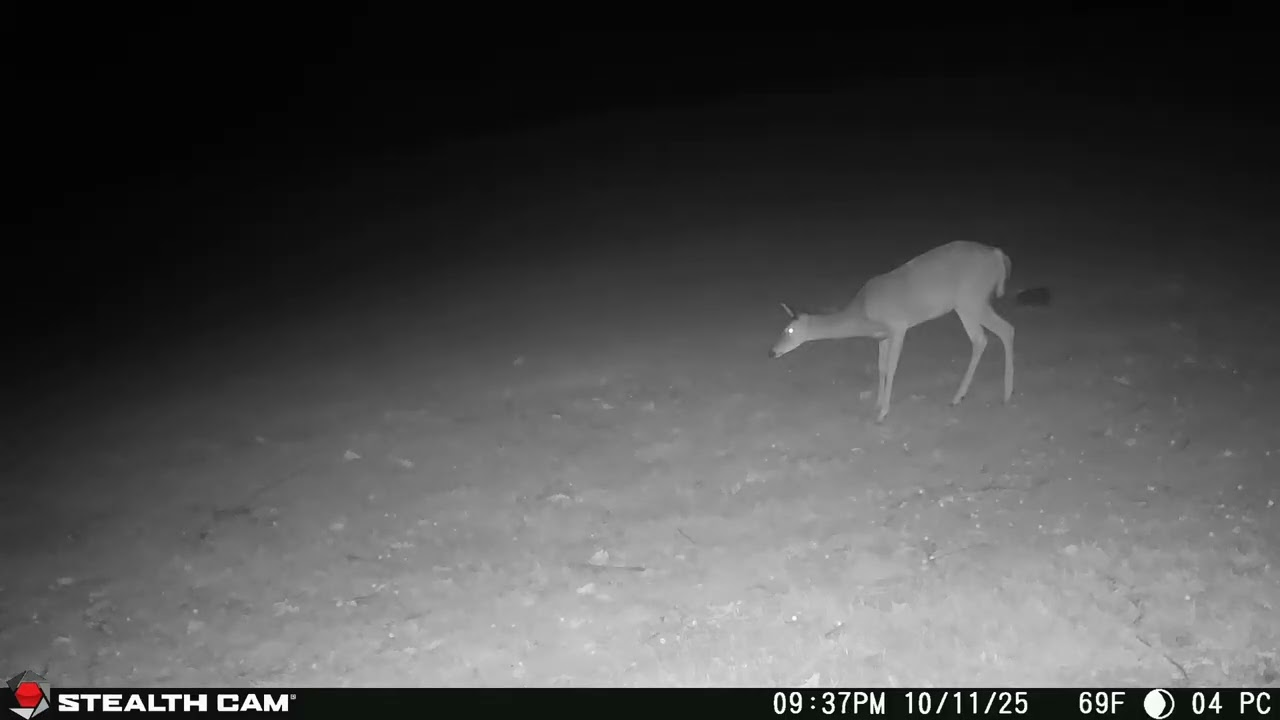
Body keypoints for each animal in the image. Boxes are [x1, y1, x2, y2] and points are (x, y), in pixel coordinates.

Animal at [769, 240, 1014, 423]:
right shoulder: (883, 336)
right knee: (985, 337)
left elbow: (893, 367)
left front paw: (883, 413)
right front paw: (877, 404)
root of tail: (997, 255)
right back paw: (963, 396)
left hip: (971, 300)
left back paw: (1002, 395)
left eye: (789, 330)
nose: (772, 352)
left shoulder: (898, 326)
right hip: (969, 304)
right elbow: (882, 368)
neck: (863, 312)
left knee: (1002, 331)